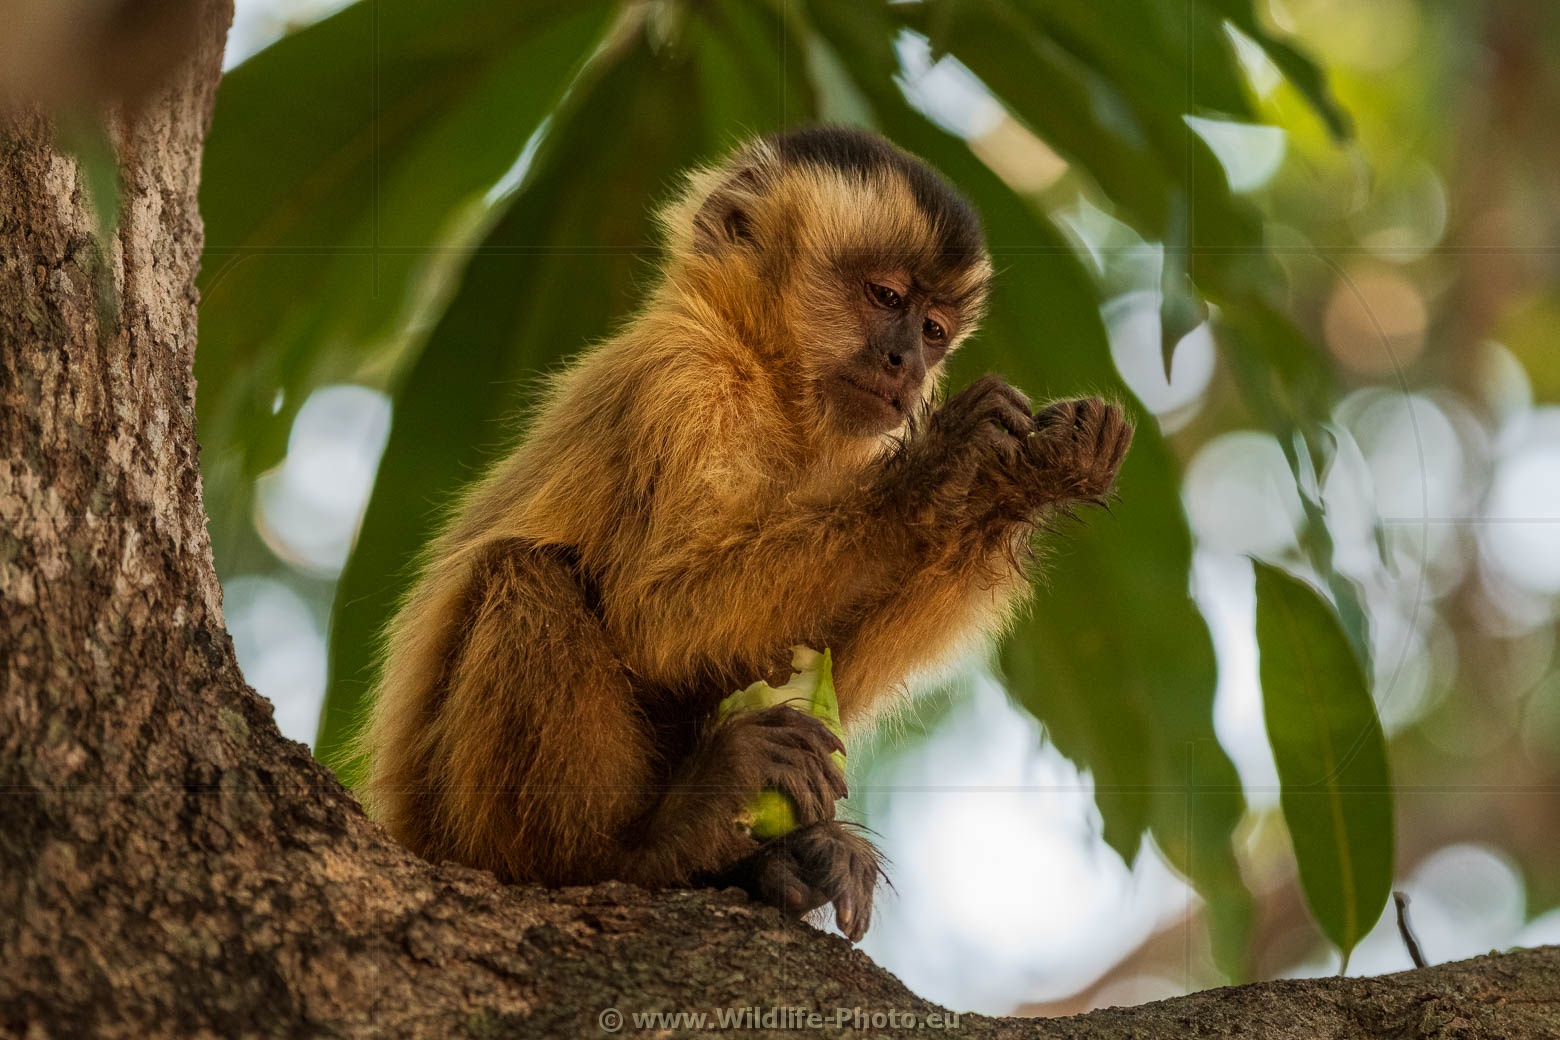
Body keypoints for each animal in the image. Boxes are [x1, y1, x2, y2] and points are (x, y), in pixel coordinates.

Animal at [360, 126, 1133, 943]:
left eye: (933, 330)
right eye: (886, 297)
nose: (909, 365)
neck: (766, 378)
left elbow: (819, 667)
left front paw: (1029, 478)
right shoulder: (685, 378)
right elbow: (658, 619)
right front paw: (942, 468)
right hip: (455, 827)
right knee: (529, 574)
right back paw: (624, 851)